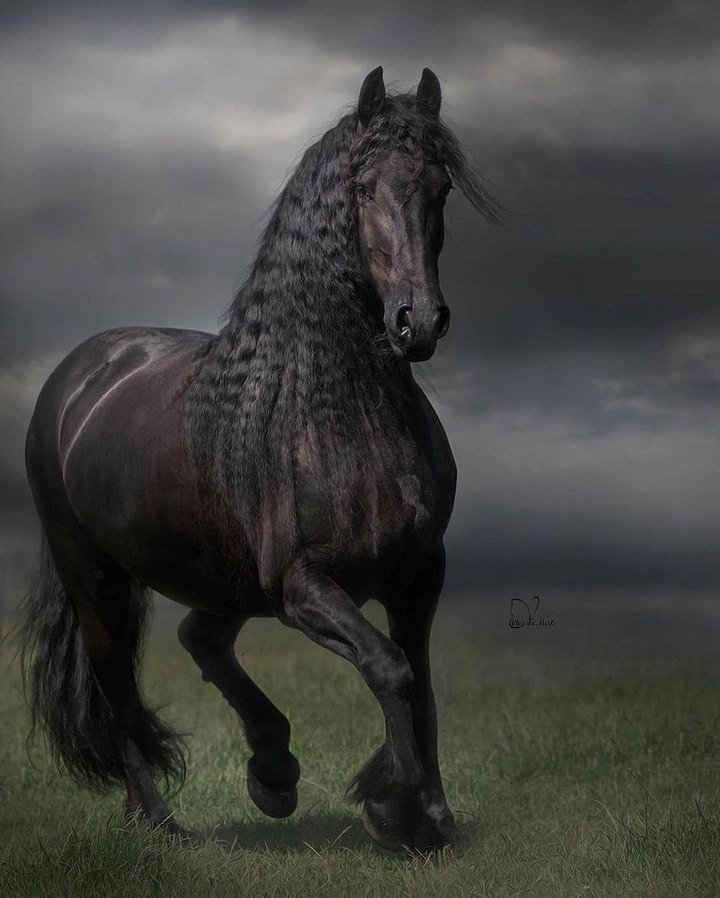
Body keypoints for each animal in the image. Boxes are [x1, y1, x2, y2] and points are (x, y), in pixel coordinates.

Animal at [17, 65, 499, 853]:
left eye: (441, 188)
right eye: (363, 189)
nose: (418, 322)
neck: (336, 411)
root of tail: (80, 374)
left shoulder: (419, 574)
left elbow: (421, 686)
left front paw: (432, 819)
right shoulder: (305, 587)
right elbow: (390, 669)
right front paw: (394, 806)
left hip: (226, 579)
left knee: (200, 639)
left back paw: (272, 773)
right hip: (96, 576)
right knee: (117, 685)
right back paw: (159, 820)